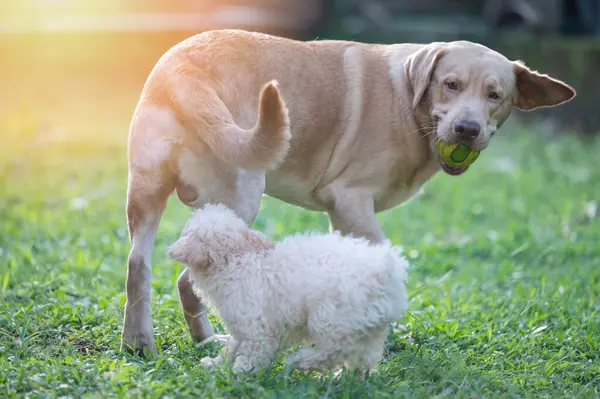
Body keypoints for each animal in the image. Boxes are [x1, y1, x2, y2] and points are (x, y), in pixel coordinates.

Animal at [119, 28, 576, 354]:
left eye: (495, 95)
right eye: (451, 85)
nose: (467, 129)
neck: (408, 98)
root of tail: (184, 72)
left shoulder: (342, 214)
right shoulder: (350, 201)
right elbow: (377, 264)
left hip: (145, 195)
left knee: (138, 266)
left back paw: (145, 342)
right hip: (240, 198)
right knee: (186, 278)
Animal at [170, 205, 412, 376]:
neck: (237, 257)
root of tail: (384, 272)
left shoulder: (257, 326)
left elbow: (252, 351)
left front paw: (241, 372)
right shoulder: (242, 326)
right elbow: (232, 347)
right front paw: (217, 365)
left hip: (330, 318)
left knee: (334, 350)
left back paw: (300, 362)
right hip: (368, 328)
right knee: (362, 356)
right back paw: (346, 378)